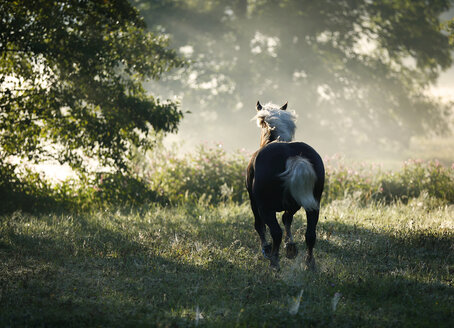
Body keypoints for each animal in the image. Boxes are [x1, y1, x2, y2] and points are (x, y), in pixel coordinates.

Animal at [247, 100, 324, 270]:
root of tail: (292, 155)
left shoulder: (255, 202)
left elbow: (260, 225)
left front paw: (267, 248)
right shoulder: (293, 205)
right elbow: (287, 219)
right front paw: (290, 247)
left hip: (265, 207)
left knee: (275, 232)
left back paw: (274, 260)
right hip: (314, 204)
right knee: (310, 234)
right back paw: (310, 263)